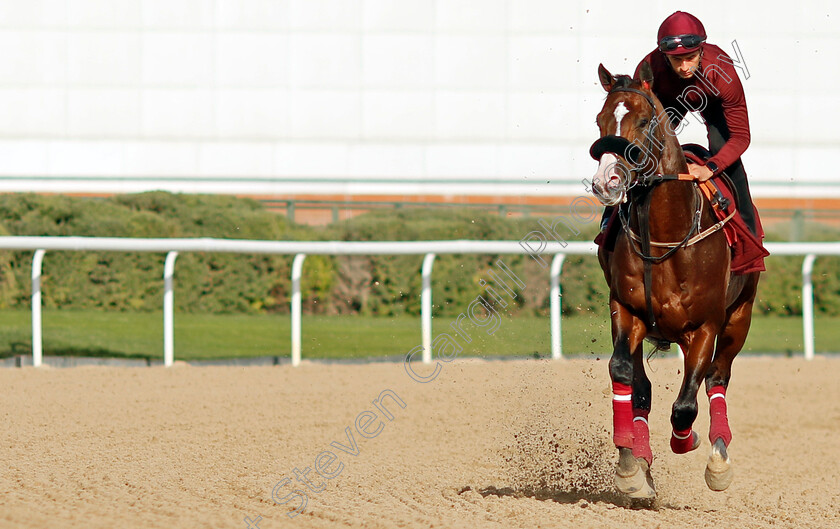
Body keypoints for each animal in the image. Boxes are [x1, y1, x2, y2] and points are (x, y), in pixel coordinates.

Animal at [592, 63, 760, 500]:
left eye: (643, 120)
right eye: (601, 120)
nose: (606, 182)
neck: (666, 236)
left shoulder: (706, 325)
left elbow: (686, 405)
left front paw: (688, 442)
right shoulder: (627, 310)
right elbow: (625, 375)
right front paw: (631, 467)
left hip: (740, 317)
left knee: (717, 378)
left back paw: (718, 455)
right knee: (643, 388)